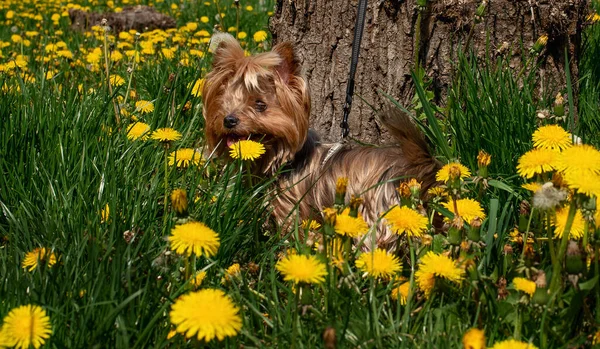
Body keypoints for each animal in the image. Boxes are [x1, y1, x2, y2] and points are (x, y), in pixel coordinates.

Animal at [199, 34, 438, 249]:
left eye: (260, 105)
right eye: (224, 102)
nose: (229, 120)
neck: (283, 159)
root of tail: (410, 169)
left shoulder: (290, 208)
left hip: (374, 215)